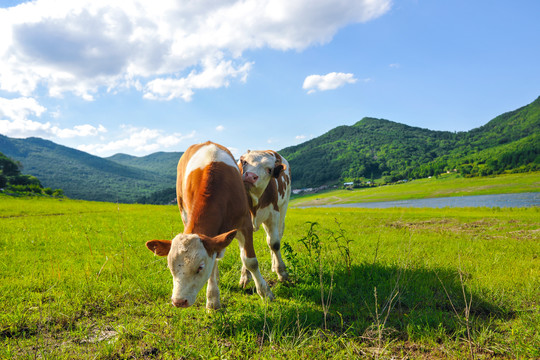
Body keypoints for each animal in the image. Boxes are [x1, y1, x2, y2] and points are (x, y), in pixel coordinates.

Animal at [144, 141, 274, 310]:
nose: (179, 301)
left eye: (200, 267)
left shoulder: (245, 223)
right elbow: (213, 265)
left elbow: (250, 261)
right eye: (170, 267)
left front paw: (265, 293)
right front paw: (212, 300)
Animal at [239, 150, 292, 284]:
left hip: (283, 206)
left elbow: (274, 244)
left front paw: (281, 272)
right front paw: (245, 275)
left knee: (276, 236)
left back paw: (274, 266)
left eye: (269, 169)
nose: (250, 176)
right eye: (245, 162)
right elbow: (244, 252)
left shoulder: (273, 214)